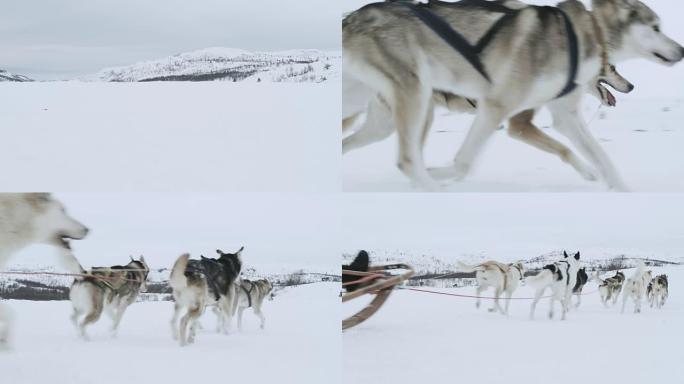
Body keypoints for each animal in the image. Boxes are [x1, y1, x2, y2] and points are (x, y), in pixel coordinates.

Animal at [344, 0, 684, 191]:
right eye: (655, 27)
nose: (631, 86)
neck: (578, 37)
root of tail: (352, 18)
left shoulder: (563, 116)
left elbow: (597, 156)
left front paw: (613, 184)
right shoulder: (510, 118)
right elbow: (465, 163)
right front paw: (442, 174)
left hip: (383, 120)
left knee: (351, 142)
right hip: (415, 102)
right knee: (407, 158)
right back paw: (429, 185)